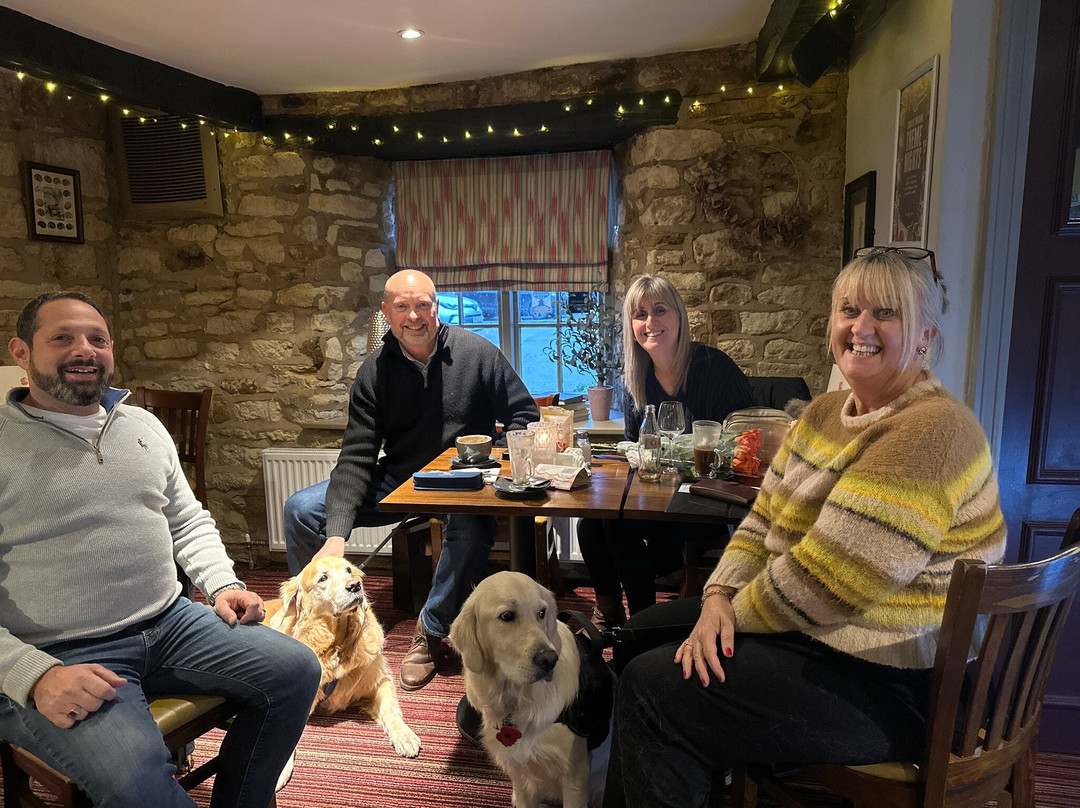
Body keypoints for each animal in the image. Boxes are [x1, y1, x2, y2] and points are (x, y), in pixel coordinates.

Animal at [263, 556, 421, 759]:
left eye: (349, 570)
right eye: (323, 578)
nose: (355, 585)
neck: (336, 647)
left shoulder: (381, 681)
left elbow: (391, 710)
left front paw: (404, 735)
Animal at [450, 571, 611, 808]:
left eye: (542, 613)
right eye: (507, 616)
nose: (549, 660)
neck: (518, 698)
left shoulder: (575, 774)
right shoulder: (519, 768)